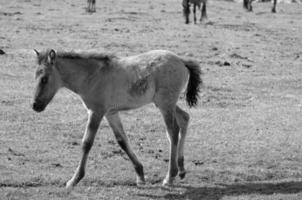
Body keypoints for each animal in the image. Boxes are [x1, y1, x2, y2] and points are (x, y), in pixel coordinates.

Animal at [31, 48, 203, 189]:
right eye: (35, 76)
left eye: (45, 78)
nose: (35, 105)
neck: (91, 76)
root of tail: (181, 61)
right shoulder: (111, 113)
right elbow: (122, 141)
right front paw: (140, 176)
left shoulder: (96, 111)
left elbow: (87, 143)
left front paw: (74, 180)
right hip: (166, 103)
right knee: (184, 119)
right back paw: (181, 170)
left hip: (165, 104)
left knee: (173, 132)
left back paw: (170, 177)